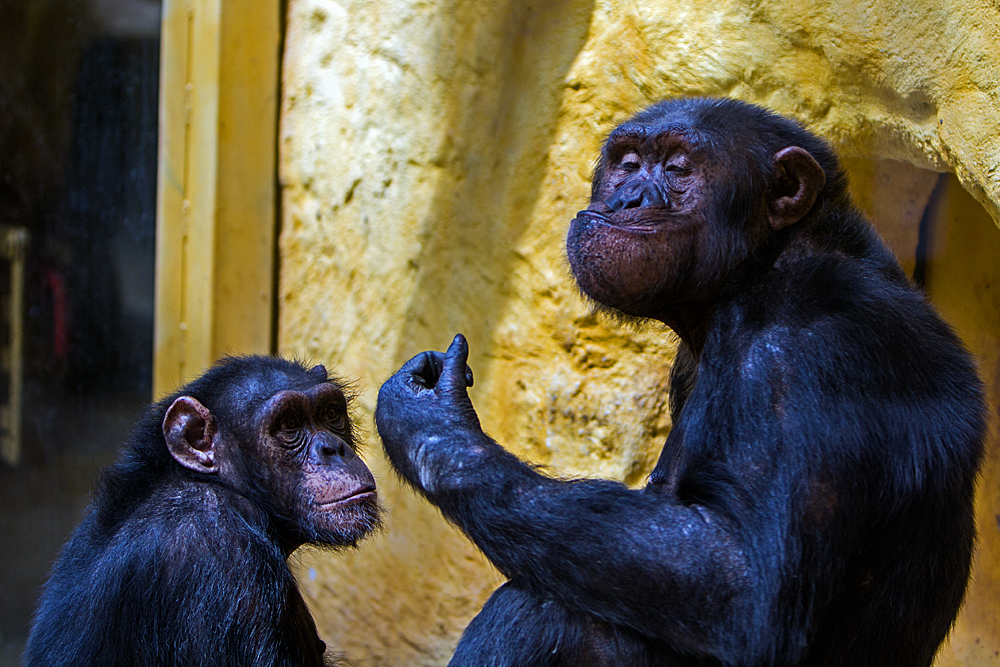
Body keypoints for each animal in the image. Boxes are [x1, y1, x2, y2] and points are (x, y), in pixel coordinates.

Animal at [378, 99, 988, 667]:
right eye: (627, 163)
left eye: (677, 167)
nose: (629, 197)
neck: (756, 272)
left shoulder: (806, 357)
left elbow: (742, 582)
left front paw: (432, 426)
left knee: (544, 609)